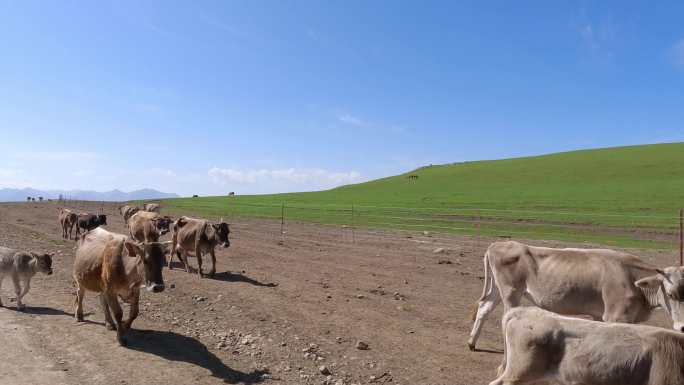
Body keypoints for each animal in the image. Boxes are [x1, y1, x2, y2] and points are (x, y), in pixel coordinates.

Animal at [468, 242, 684, 350]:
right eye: (670, 294)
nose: (682, 327)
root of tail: (499, 243)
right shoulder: (616, 316)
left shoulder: (600, 316)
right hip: (511, 291)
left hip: (498, 289)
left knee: (484, 307)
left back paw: (472, 343)